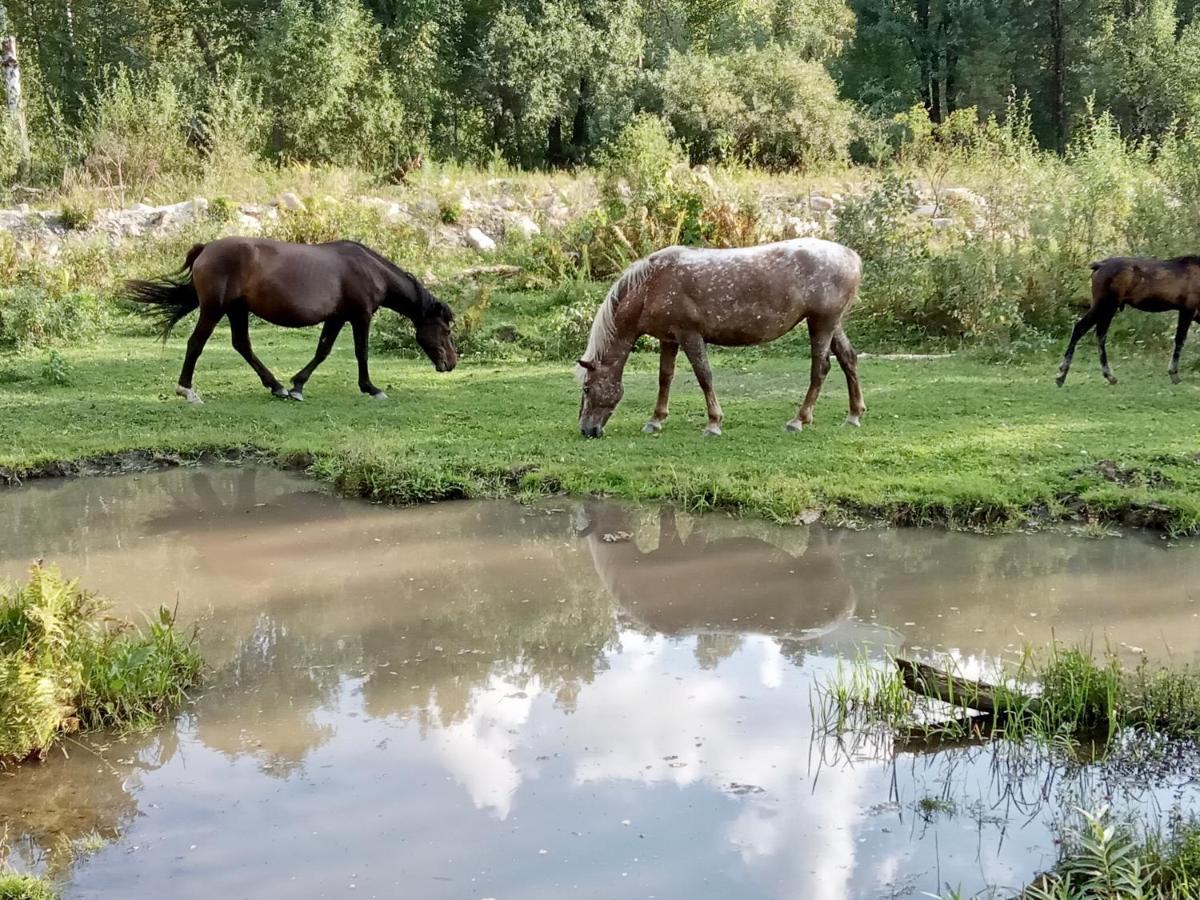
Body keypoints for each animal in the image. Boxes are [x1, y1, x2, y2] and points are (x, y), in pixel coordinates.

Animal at [125, 240, 453, 408]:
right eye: (446, 329)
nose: (451, 363)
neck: (368, 268)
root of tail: (205, 249)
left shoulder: (337, 318)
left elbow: (322, 351)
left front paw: (297, 385)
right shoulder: (360, 316)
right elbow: (361, 353)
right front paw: (371, 388)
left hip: (236, 310)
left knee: (242, 345)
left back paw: (277, 386)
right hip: (214, 309)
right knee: (196, 343)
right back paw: (187, 391)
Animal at [573, 237, 864, 439]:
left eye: (587, 388)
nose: (587, 430)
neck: (650, 286)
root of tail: (851, 256)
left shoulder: (689, 335)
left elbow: (704, 376)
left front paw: (713, 423)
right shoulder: (670, 339)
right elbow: (665, 378)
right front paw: (656, 420)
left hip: (821, 324)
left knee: (820, 368)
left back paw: (799, 420)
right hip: (830, 323)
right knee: (848, 359)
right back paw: (853, 414)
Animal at [1056, 256, 1200, 391]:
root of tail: (1098, 266)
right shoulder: (1187, 310)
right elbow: (1180, 339)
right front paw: (1174, 373)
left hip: (1108, 308)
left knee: (1100, 334)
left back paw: (1109, 376)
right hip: (1104, 305)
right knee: (1081, 328)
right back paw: (1061, 375)